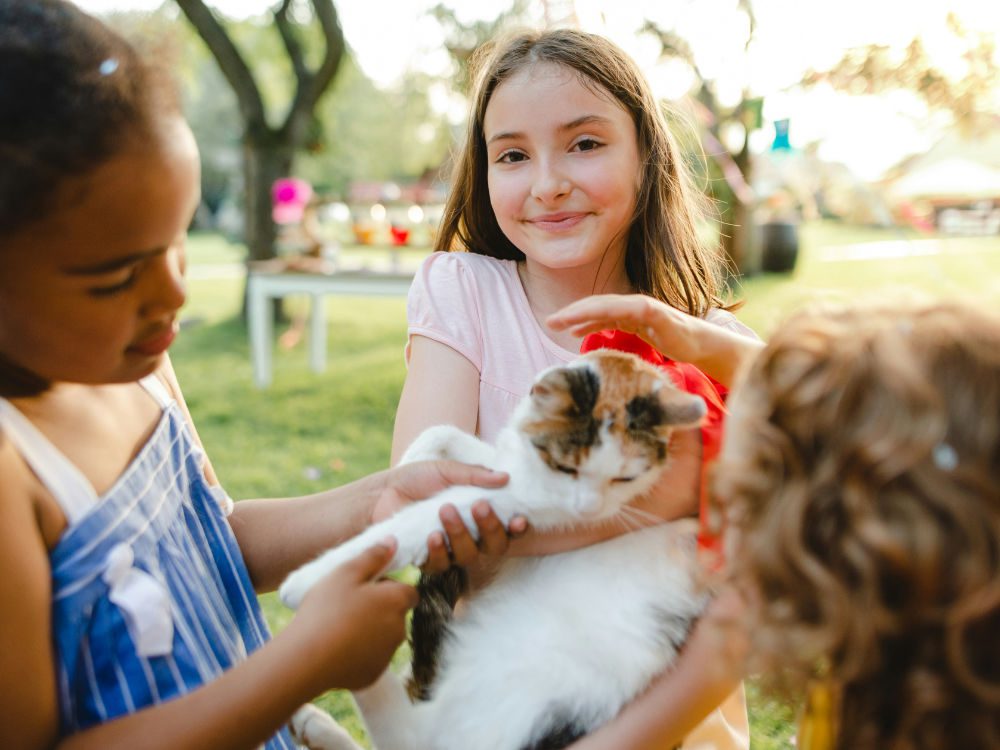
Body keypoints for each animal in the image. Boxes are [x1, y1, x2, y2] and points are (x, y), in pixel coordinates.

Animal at [278, 352, 708, 750]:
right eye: (566, 468)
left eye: (626, 478)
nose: (589, 511)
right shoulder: (506, 469)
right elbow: (448, 436)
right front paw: (410, 463)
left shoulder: (519, 500)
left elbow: (415, 521)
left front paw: (312, 578)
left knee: (409, 733)